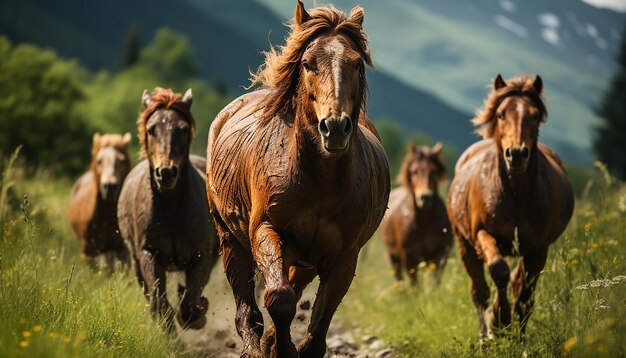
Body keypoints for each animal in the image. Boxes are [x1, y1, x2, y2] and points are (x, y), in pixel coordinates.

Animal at [117, 88, 219, 332]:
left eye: (183, 129)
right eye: (151, 129)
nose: (166, 173)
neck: (172, 211)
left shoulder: (200, 257)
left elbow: (190, 304)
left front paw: (198, 314)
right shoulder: (149, 255)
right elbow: (160, 303)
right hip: (136, 262)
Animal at [207, 2, 388, 356]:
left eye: (357, 63)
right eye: (307, 63)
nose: (335, 127)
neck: (321, 180)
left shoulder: (344, 256)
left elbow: (321, 319)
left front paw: (291, 346)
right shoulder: (267, 231)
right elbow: (279, 299)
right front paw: (280, 348)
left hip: (305, 261)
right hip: (231, 239)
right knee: (247, 307)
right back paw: (255, 345)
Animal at [378, 142, 450, 286]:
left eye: (434, 171)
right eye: (414, 172)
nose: (425, 197)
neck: (424, 223)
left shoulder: (440, 254)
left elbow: (434, 283)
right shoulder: (409, 258)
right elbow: (415, 285)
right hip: (393, 257)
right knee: (399, 279)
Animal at [446, 74, 572, 340]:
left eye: (535, 115)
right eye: (501, 114)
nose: (516, 154)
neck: (515, 195)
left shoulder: (538, 248)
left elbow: (525, 296)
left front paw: (517, 336)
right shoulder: (483, 234)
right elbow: (498, 270)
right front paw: (500, 318)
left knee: (517, 285)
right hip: (465, 246)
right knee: (480, 291)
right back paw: (485, 336)